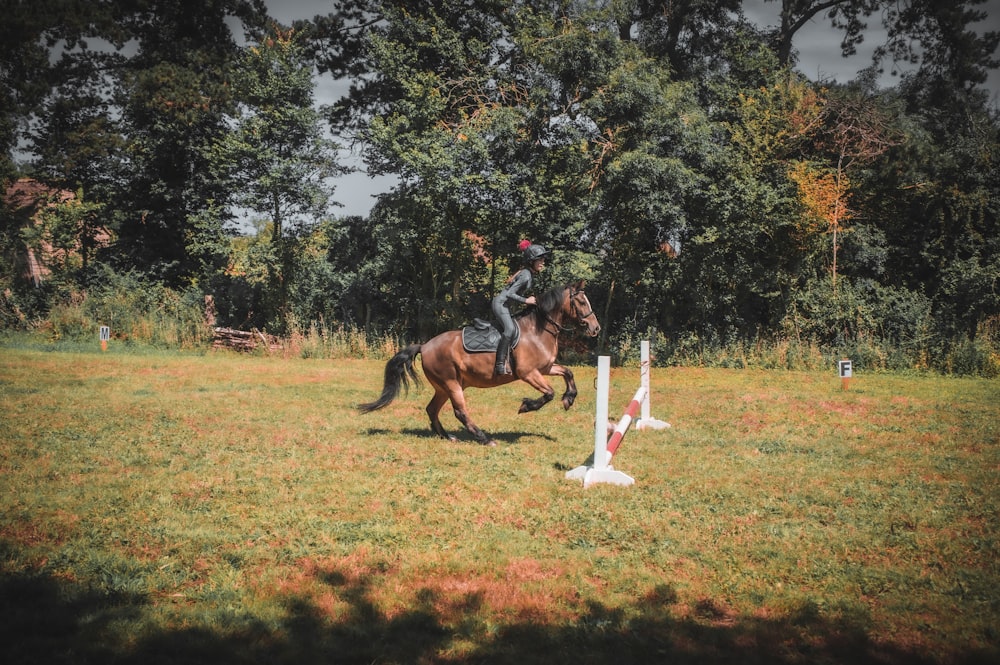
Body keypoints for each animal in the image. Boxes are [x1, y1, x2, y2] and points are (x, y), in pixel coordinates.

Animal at [362, 278, 600, 444]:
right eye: (581, 301)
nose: (595, 328)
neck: (538, 330)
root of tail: (425, 345)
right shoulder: (528, 373)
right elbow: (549, 393)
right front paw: (526, 406)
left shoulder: (546, 368)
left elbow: (568, 373)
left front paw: (568, 399)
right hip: (451, 383)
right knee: (459, 411)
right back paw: (484, 438)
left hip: (444, 387)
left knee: (432, 409)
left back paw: (448, 436)